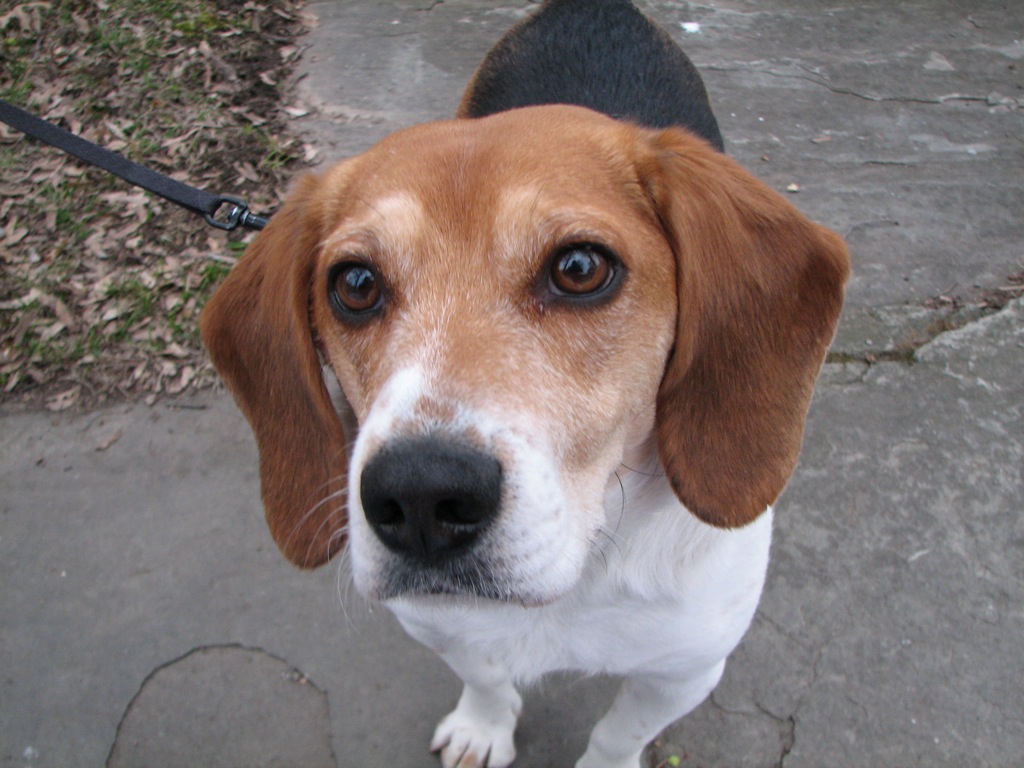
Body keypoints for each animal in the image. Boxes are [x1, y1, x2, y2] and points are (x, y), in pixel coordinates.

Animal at [199, 3, 847, 765]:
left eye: (579, 268)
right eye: (354, 284)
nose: (420, 495)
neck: (581, 566)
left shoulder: (684, 670)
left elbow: (618, 732)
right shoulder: (443, 627)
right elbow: (485, 674)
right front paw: (483, 727)